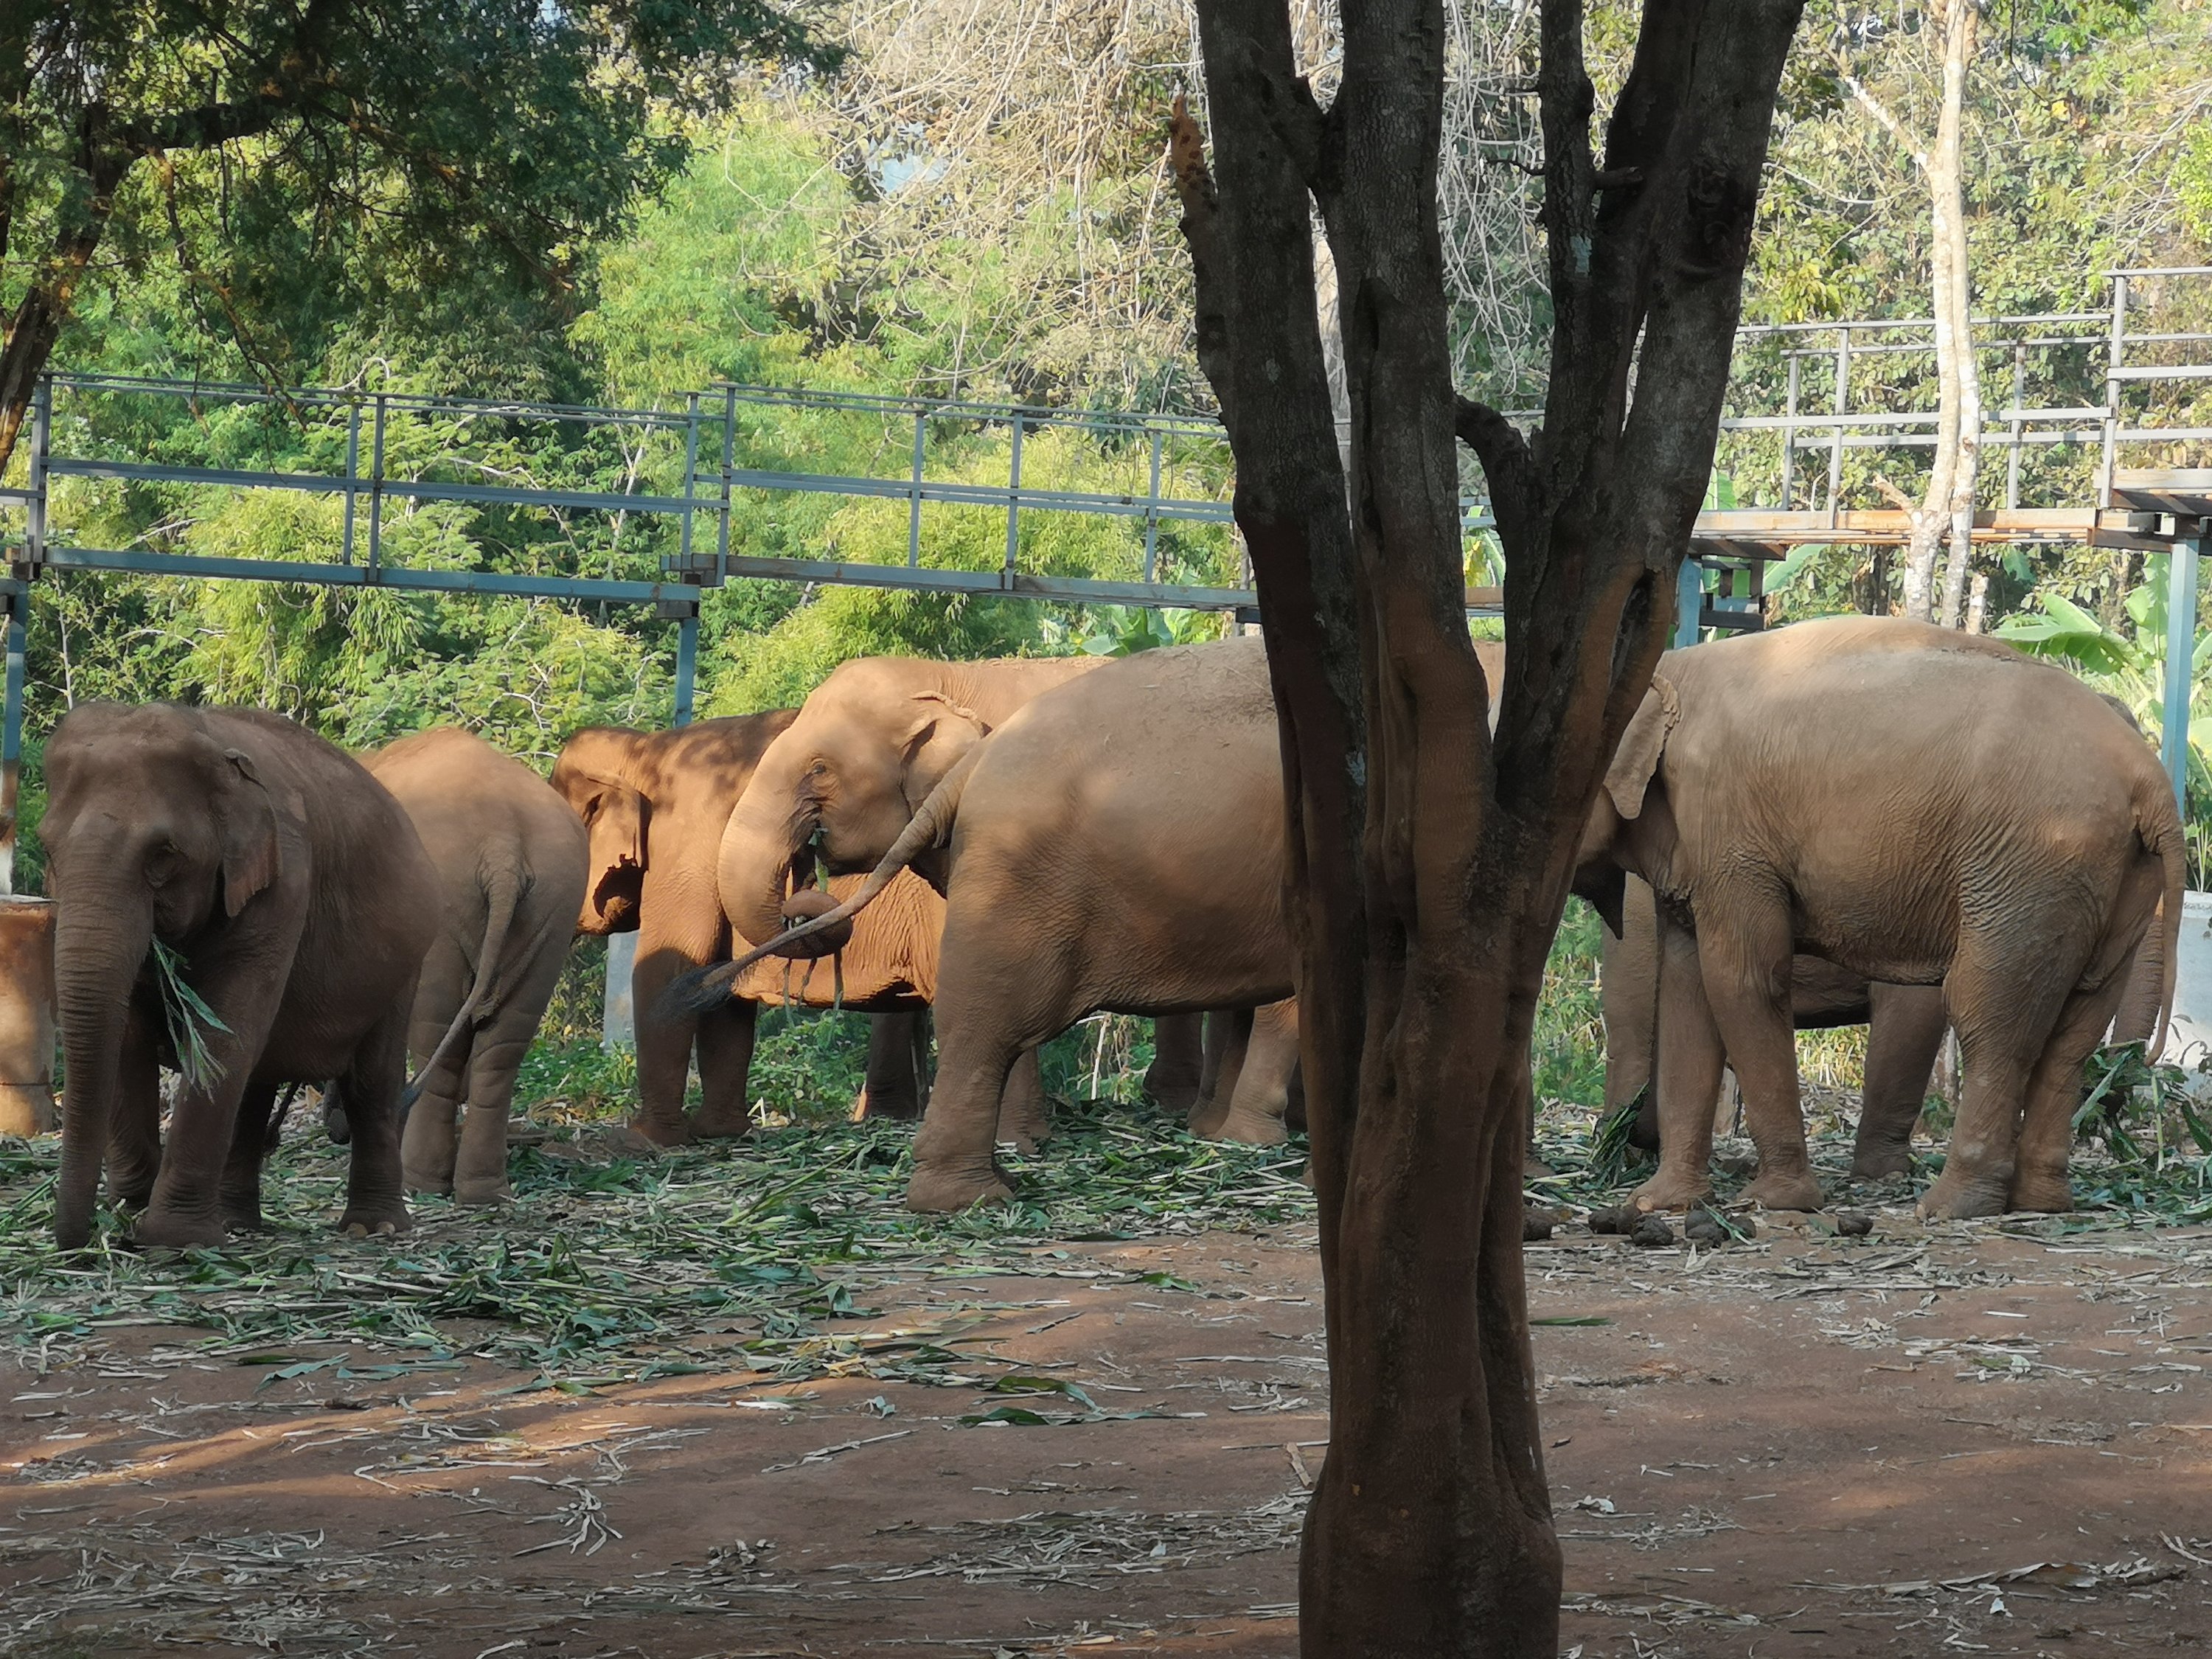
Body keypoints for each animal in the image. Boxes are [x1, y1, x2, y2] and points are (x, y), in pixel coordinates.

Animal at [43, 703, 436, 1249]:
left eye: (164, 854)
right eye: (47, 849)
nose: (83, 1239)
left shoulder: (284, 883)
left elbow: (225, 1035)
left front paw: (171, 1240)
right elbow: (128, 1036)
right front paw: (133, 1209)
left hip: (404, 966)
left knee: (371, 1082)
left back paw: (372, 1227)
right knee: (257, 1082)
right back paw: (237, 1223)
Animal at [361, 729, 590, 1205]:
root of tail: (503, 847)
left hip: (447, 909)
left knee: (436, 1031)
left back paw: (421, 1184)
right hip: (555, 904)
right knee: (504, 1045)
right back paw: (485, 1193)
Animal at [551, 713, 950, 1146]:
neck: (646, 749)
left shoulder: (686, 842)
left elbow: (667, 968)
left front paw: (641, 1141)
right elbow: (723, 996)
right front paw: (720, 1133)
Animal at [1574, 616, 2183, 1220]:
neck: (1668, 670)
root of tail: (2149, 781)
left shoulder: (1732, 831)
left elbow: (1744, 981)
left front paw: (1778, 1201)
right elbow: (1691, 990)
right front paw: (1661, 1203)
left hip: (2034, 862)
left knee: (1990, 1016)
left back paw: (1950, 1207)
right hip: (2098, 870)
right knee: (2075, 1026)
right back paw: (2040, 1203)